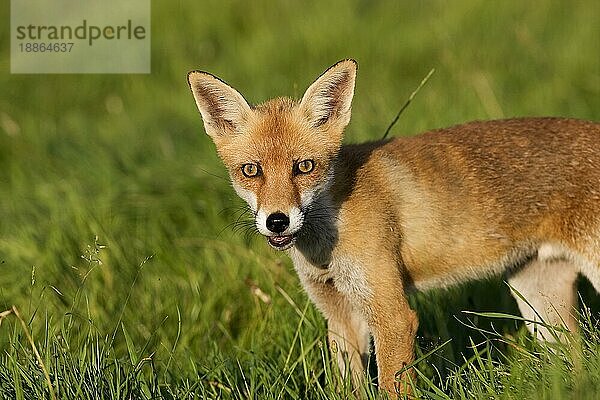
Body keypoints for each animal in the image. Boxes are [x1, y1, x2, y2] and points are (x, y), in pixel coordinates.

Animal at [188, 60, 600, 396]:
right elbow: (348, 386)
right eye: (251, 170)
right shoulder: (340, 315)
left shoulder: (393, 315)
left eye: (304, 166)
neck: (327, 241)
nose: (277, 220)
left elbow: (392, 384)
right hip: (540, 303)